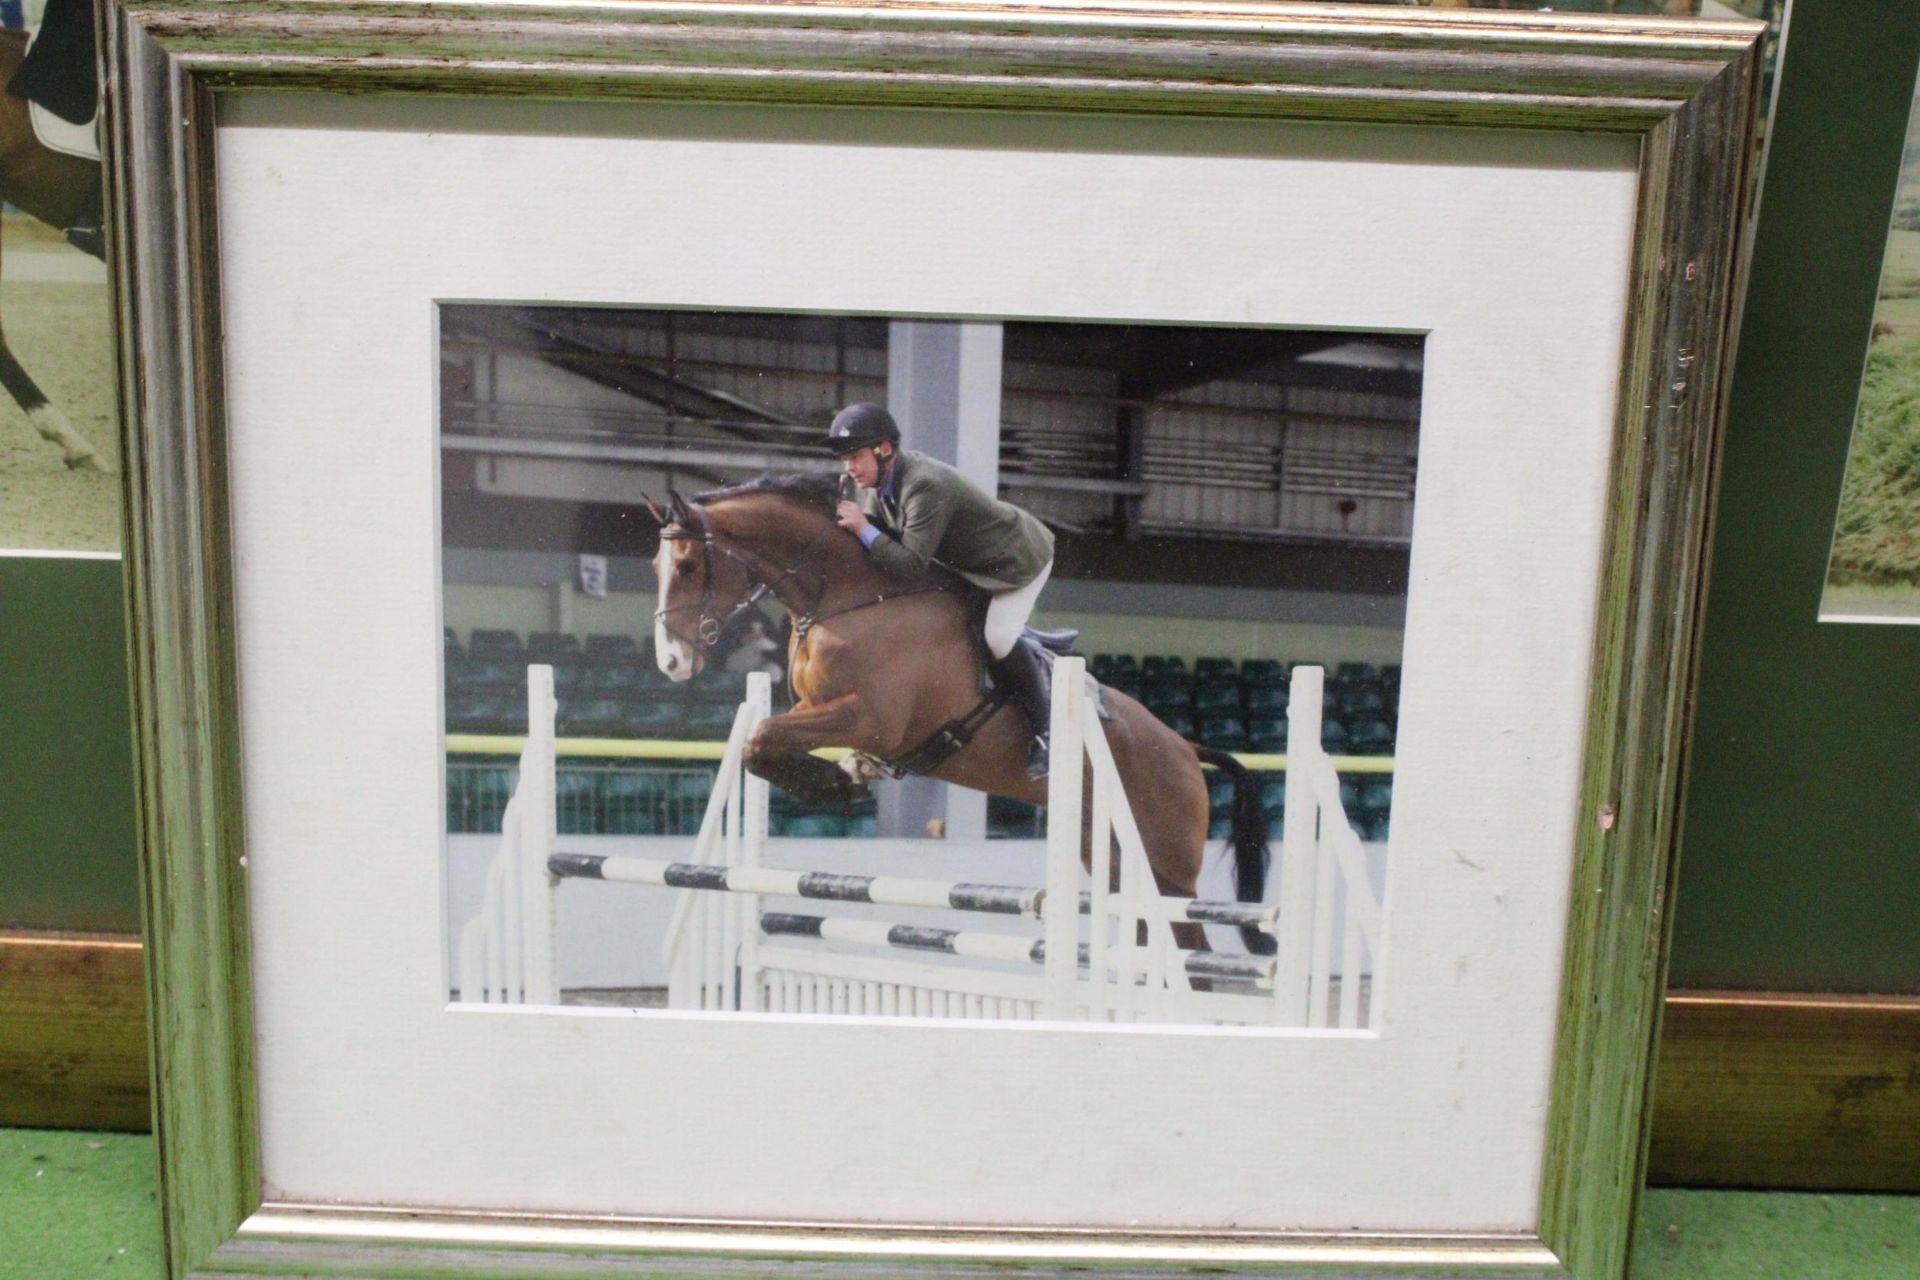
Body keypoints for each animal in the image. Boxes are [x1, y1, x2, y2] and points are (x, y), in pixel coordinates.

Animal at [648, 475, 1274, 967]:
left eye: (687, 565)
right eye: (656, 566)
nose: (672, 662)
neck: (849, 597)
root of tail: (1186, 750)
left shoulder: (872, 718)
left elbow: (761, 738)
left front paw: (836, 783)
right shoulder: (817, 709)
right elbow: (763, 743)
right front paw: (843, 778)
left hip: (1166, 869)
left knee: (1194, 954)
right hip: (1115, 859)